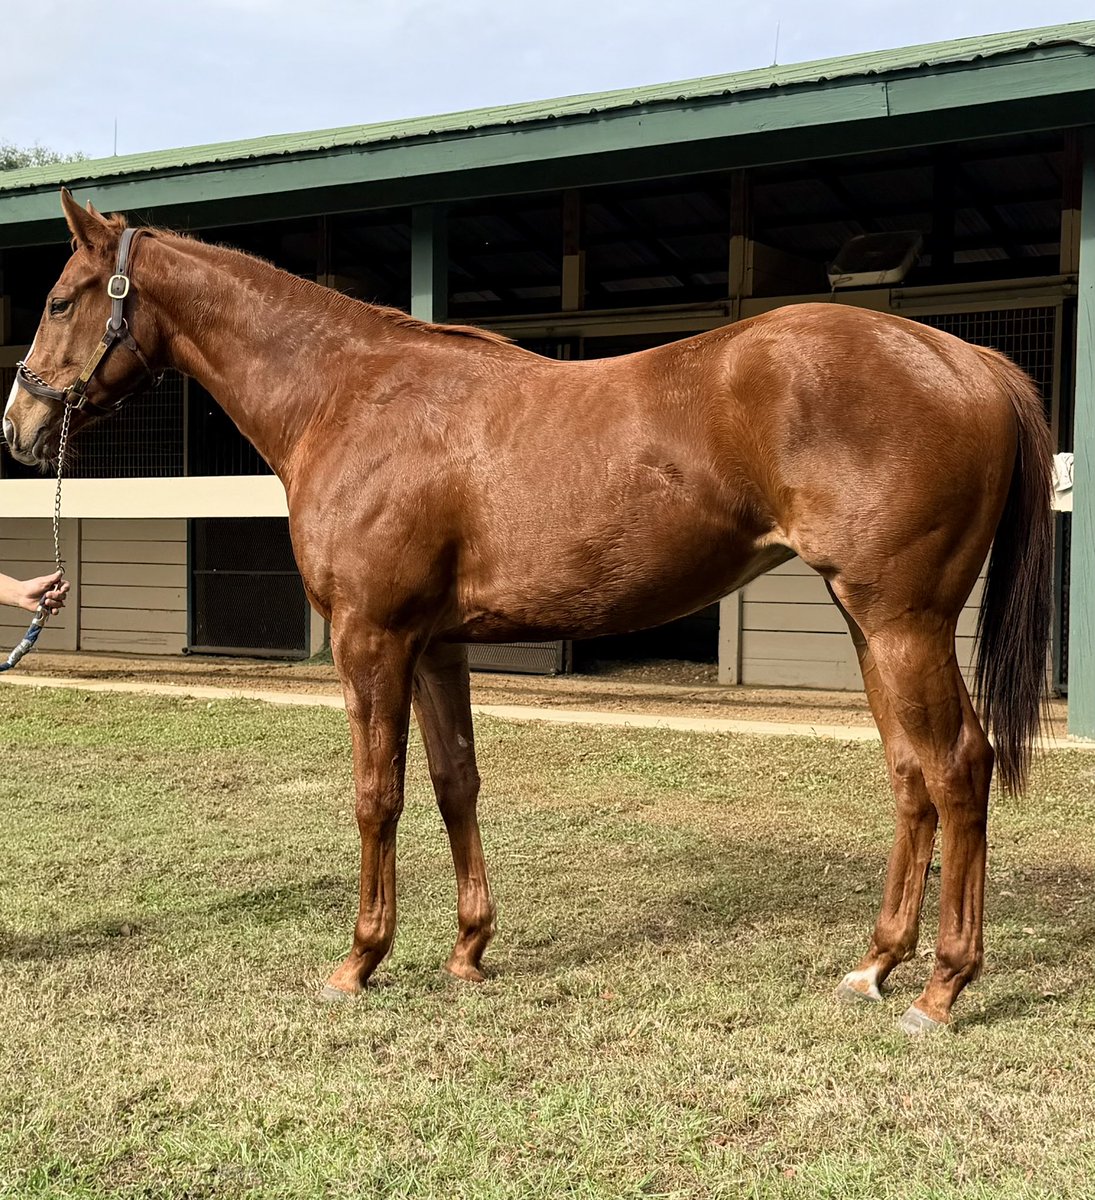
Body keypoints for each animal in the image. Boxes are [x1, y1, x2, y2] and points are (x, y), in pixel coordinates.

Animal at [4, 189, 1053, 1034]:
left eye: (59, 300)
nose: (18, 425)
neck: (352, 397)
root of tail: (961, 356)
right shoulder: (436, 647)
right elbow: (453, 783)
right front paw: (468, 951)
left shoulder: (371, 639)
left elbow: (376, 795)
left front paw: (359, 962)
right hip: (869, 625)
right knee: (910, 776)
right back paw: (874, 966)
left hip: (903, 622)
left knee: (957, 768)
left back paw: (941, 990)